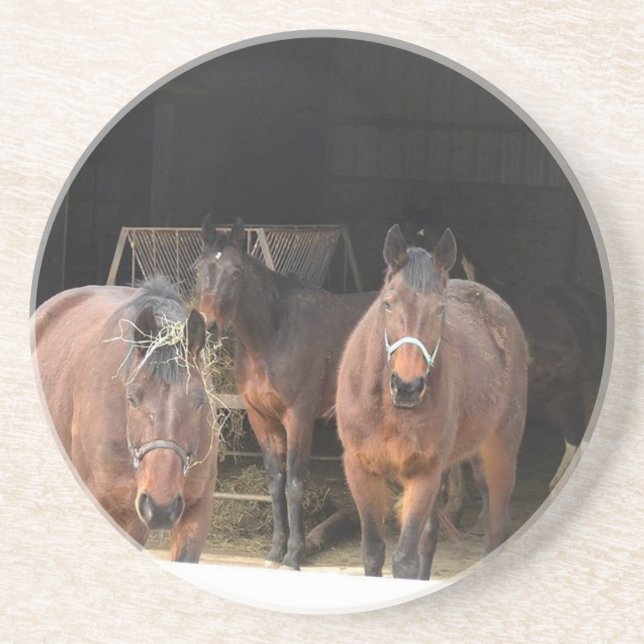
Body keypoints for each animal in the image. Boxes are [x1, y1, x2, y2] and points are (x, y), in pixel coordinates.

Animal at [195, 216, 374, 570]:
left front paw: (294, 554)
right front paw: (276, 550)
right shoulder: (261, 417)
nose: (208, 326)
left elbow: (294, 483)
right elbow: (275, 483)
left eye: (236, 272)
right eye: (198, 269)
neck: (272, 335)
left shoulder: (299, 417)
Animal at [336, 225, 528, 579]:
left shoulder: (424, 472)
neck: (389, 409)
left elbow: (405, 560)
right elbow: (373, 552)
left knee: (496, 530)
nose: (407, 386)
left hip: (500, 454)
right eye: (388, 303)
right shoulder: (360, 468)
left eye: (441, 309)